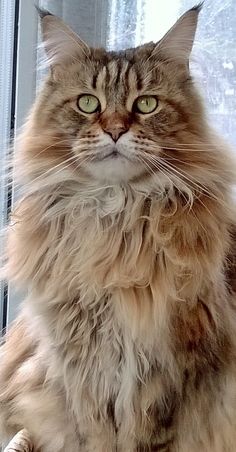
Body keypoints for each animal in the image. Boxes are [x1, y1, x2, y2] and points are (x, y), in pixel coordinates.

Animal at [0, 4, 236, 452]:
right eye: (88, 103)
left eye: (146, 104)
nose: (114, 130)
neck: (112, 215)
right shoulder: (81, 368)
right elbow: (94, 433)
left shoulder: (167, 373)